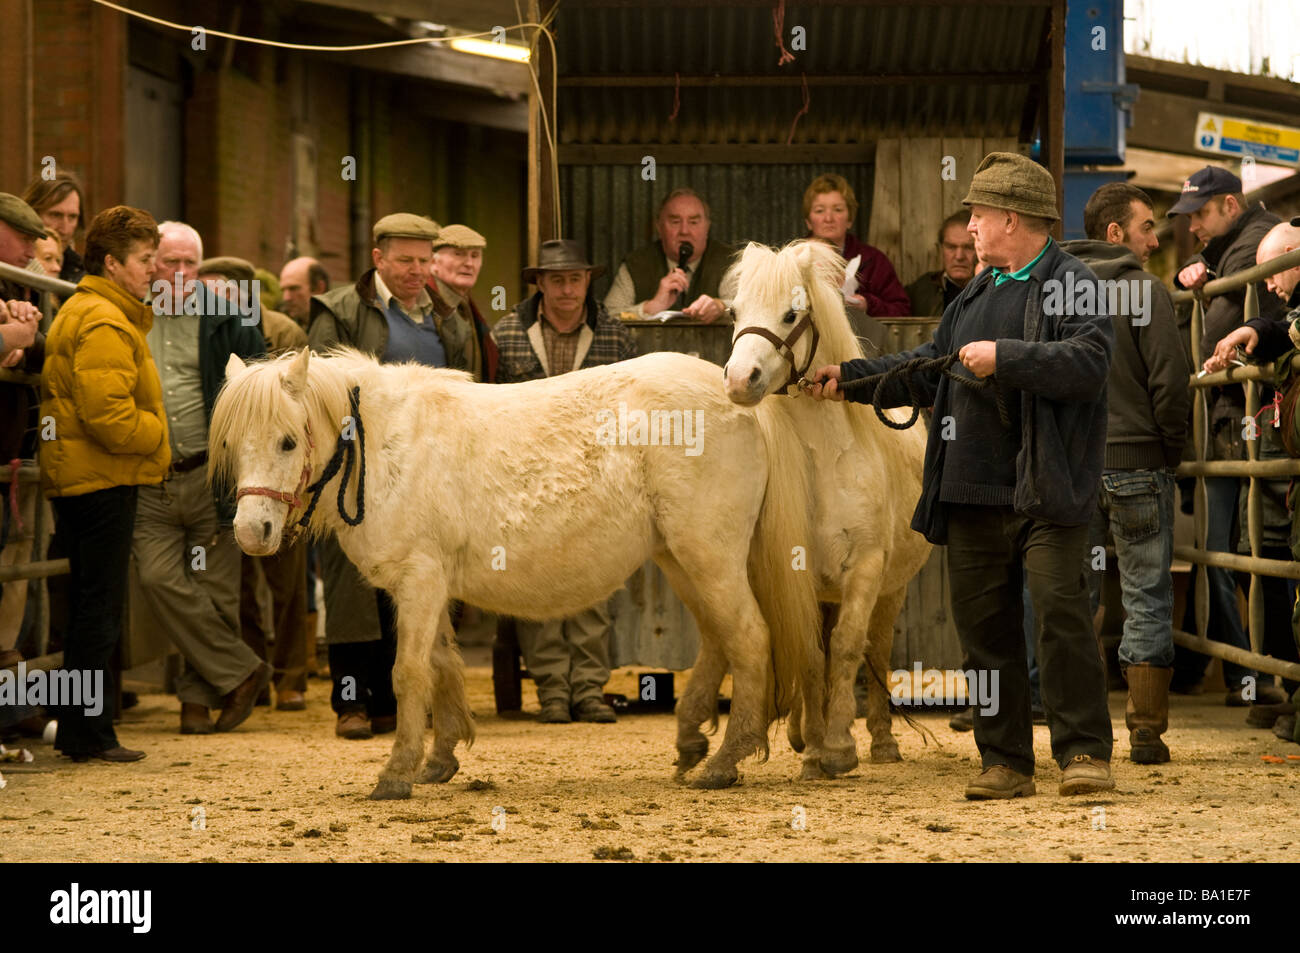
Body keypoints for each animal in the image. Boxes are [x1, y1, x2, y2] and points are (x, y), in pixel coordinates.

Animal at [209, 346, 821, 798]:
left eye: (288, 440)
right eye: (234, 444)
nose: (252, 531)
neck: (385, 449)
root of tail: (738, 395)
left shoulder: (419, 581)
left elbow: (409, 672)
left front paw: (397, 773)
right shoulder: (430, 586)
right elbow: (442, 665)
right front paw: (440, 760)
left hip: (709, 555)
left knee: (749, 639)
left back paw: (724, 762)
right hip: (683, 558)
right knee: (720, 641)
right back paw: (693, 743)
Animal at [721, 239, 932, 778]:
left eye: (791, 313)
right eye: (734, 312)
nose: (740, 379)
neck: (828, 463)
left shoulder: (866, 569)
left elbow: (848, 648)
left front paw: (839, 747)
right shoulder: (801, 575)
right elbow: (814, 657)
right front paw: (816, 751)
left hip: (892, 589)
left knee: (877, 649)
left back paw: (882, 741)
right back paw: (802, 734)